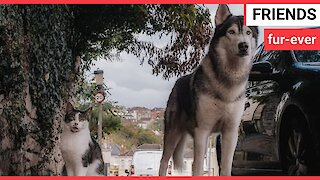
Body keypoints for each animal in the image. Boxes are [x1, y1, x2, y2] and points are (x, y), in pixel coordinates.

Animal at [159, 4, 258, 176]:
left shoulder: (230, 133)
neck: (228, 80)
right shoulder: (202, 130)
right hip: (173, 133)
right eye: (231, 32)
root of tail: (178, 82)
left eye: (248, 32)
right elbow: (198, 166)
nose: (243, 46)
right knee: (165, 161)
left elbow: (226, 167)